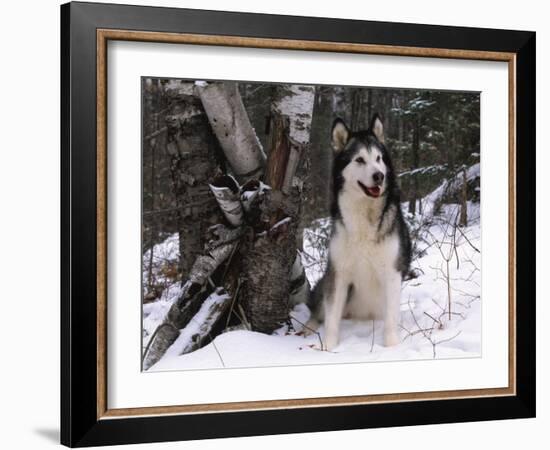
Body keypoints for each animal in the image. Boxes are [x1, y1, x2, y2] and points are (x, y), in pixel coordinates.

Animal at [308, 114, 412, 350]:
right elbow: (331, 317)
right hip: (328, 285)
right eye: (360, 160)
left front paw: (391, 347)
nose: (379, 176)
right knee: (317, 311)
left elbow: (391, 319)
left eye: (379, 158)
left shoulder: (392, 272)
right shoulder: (338, 273)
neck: (364, 215)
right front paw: (328, 347)